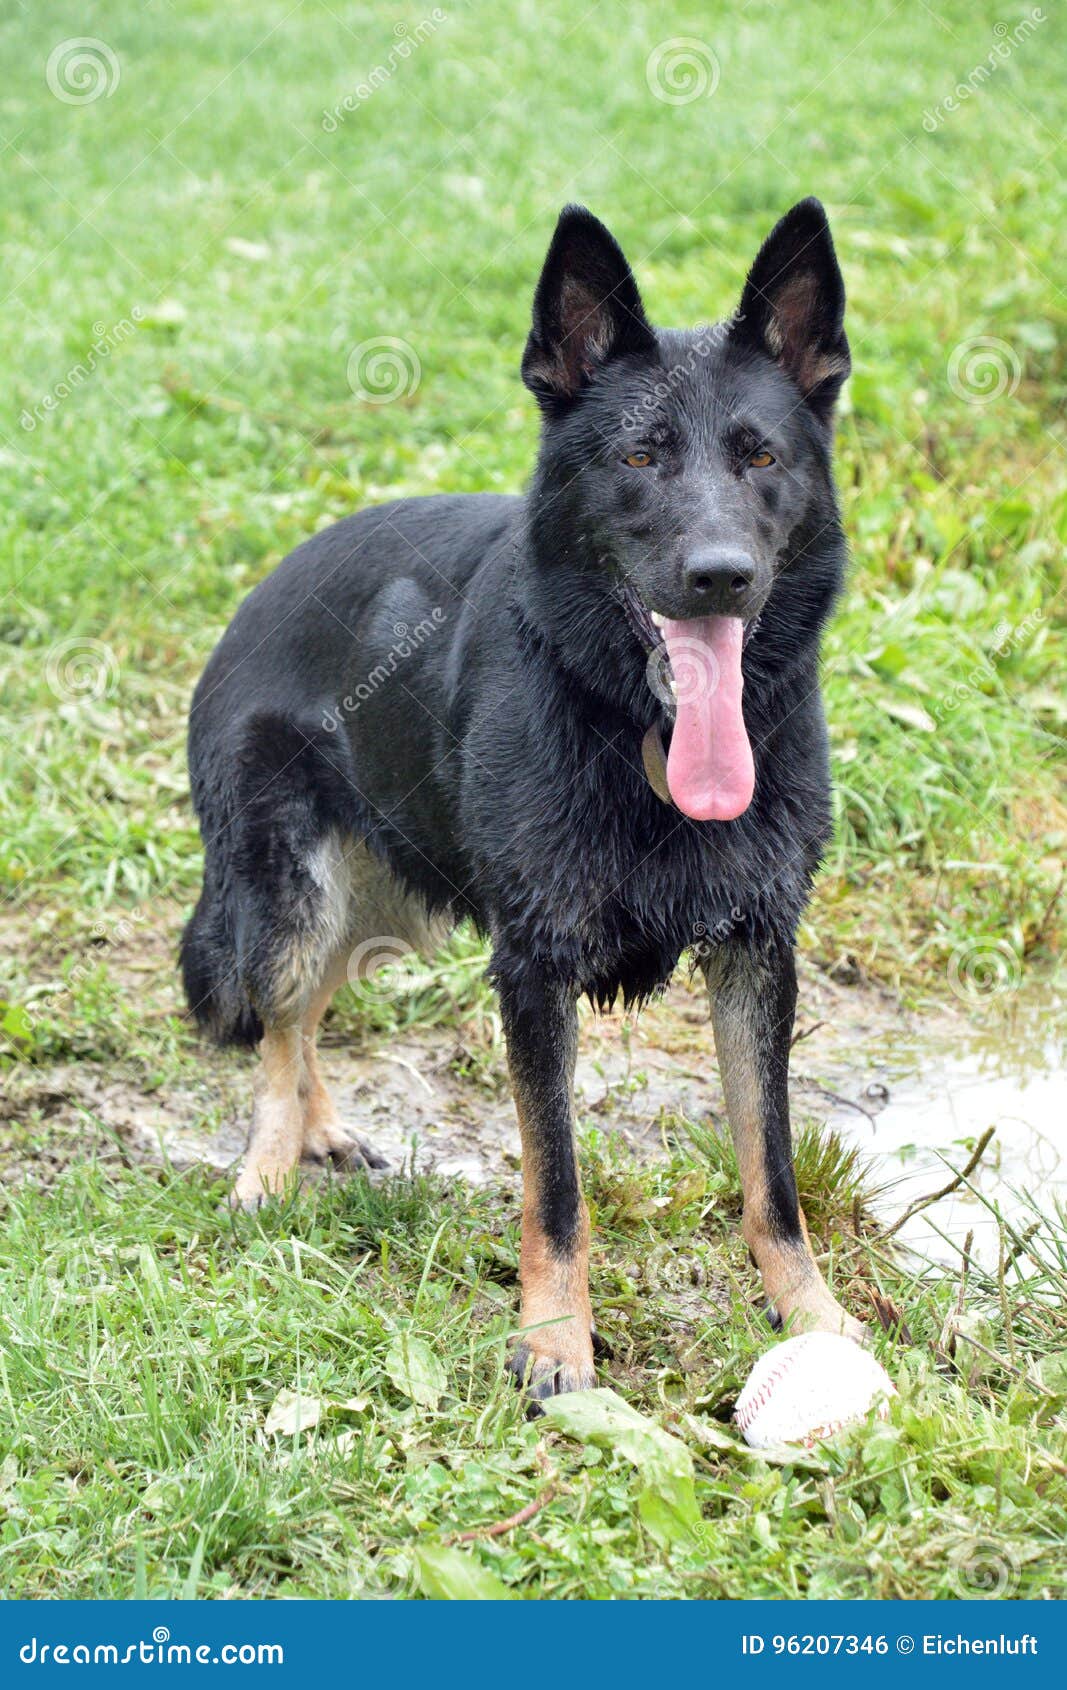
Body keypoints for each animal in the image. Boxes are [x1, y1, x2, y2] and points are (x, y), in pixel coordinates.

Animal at [183, 197, 865, 1406]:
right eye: (638, 455)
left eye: (760, 456)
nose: (720, 575)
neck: (639, 732)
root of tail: (261, 588)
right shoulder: (533, 969)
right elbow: (554, 1186)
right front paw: (555, 1340)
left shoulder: (757, 954)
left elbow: (771, 1170)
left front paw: (809, 1313)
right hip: (294, 894)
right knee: (276, 1016)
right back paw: (268, 1166)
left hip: (384, 903)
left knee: (307, 1012)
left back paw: (320, 1130)